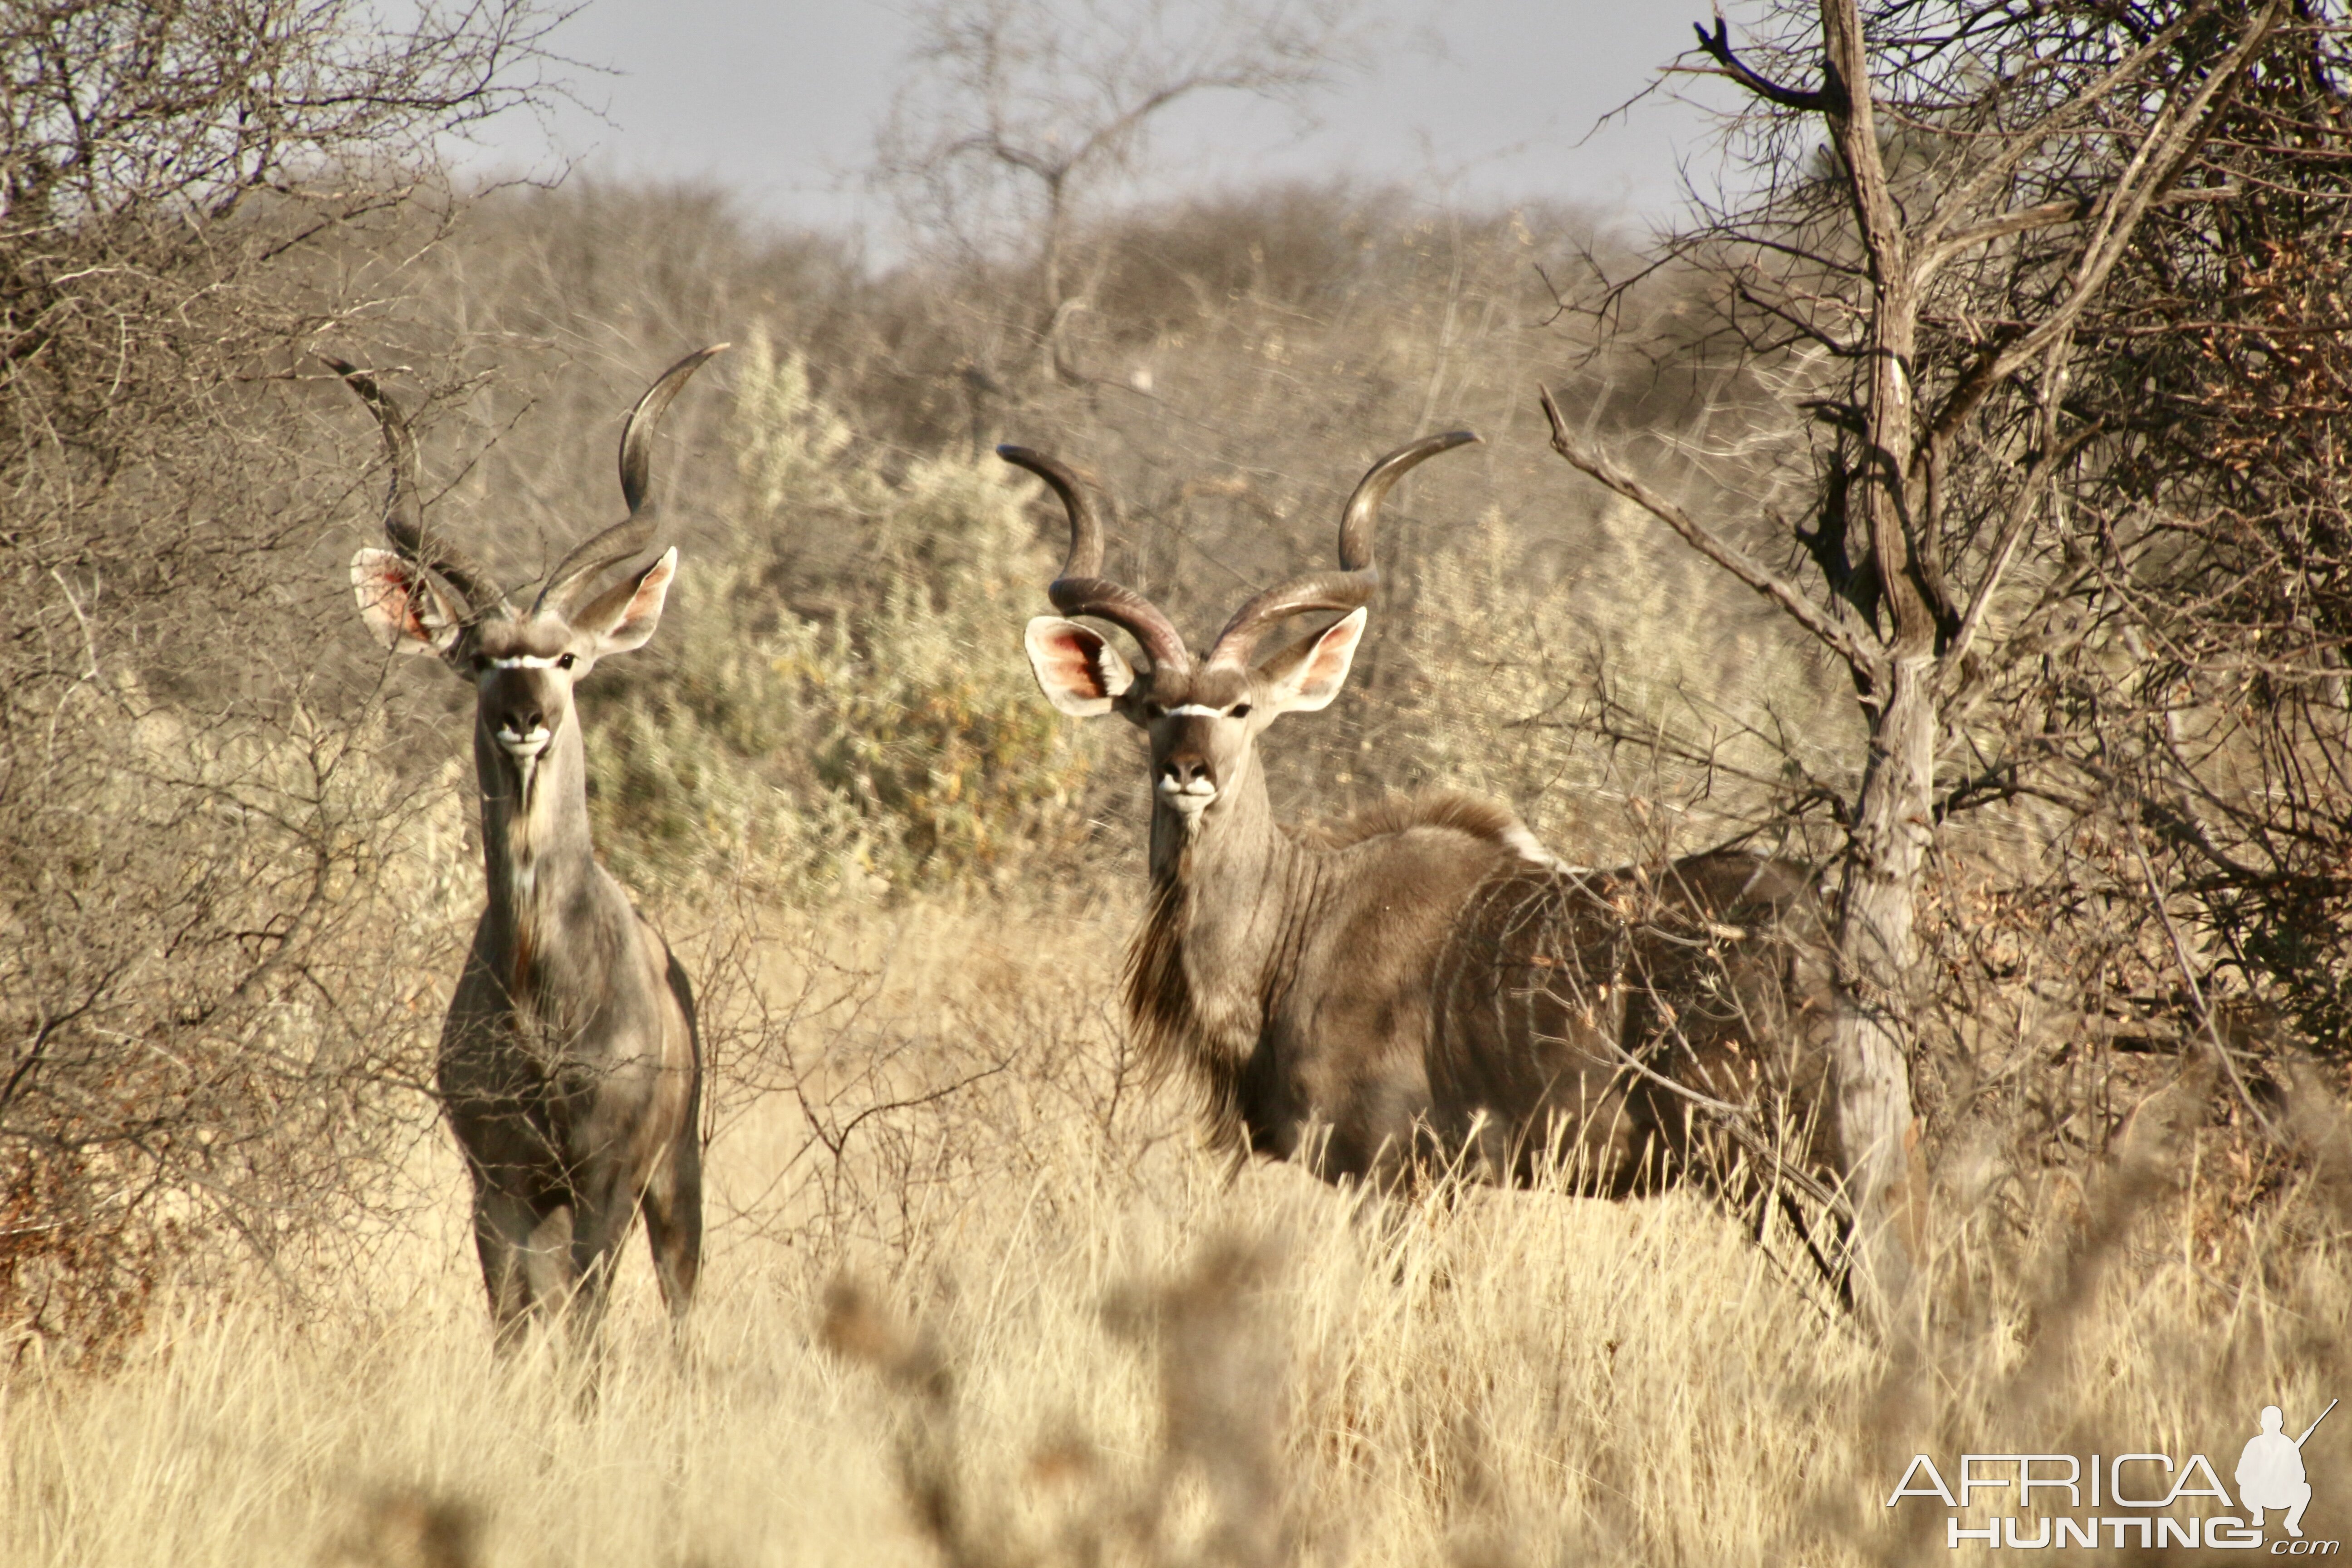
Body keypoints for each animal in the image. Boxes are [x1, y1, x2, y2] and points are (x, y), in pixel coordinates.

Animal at [334, 345, 715, 1354]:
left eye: (567, 659)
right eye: (479, 660)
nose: (524, 720)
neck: (543, 994)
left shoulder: (606, 1179)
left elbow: (586, 1332)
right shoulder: (499, 1184)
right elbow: (513, 1331)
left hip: (675, 1178)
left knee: (678, 1299)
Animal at [1020, 435, 1844, 1260]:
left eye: (1241, 708)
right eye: (1153, 707)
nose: (1187, 772)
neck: (1300, 921)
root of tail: (1816, 927)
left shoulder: (1391, 1170)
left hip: (1751, 1151)